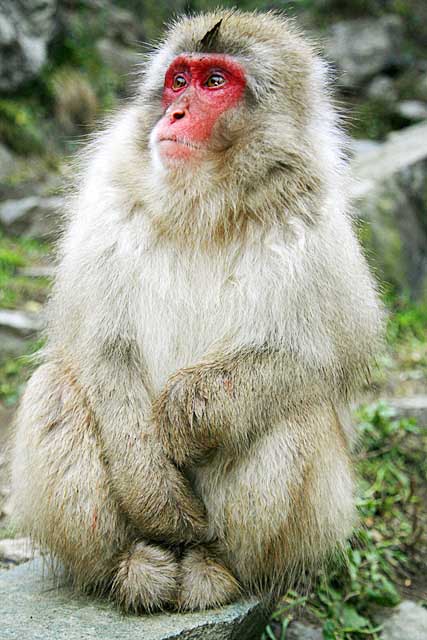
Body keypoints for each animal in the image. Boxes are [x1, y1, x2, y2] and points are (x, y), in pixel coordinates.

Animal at [11, 8, 382, 608]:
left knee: (294, 408)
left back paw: (218, 568)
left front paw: (186, 411)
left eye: (214, 82)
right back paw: (131, 564)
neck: (204, 206)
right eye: (178, 80)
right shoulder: (107, 196)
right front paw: (156, 491)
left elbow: (313, 356)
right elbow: (100, 348)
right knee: (57, 386)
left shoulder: (313, 219)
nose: (176, 113)